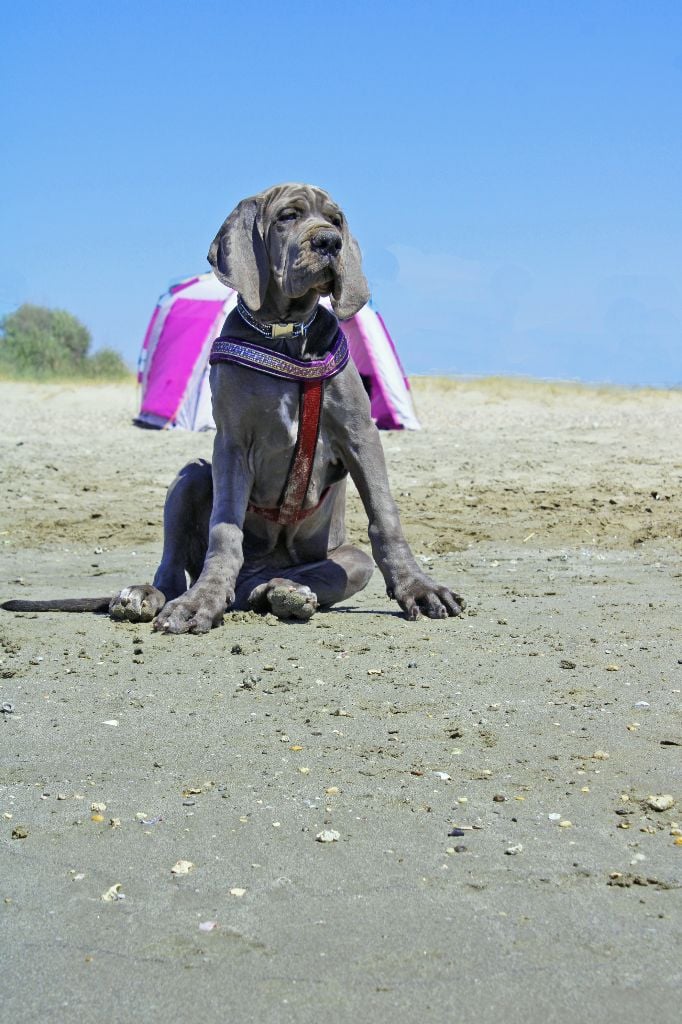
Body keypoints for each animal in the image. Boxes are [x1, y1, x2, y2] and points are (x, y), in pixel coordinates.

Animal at [2, 184, 465, 632]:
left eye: (335, 220)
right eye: (288, 216)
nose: (330, 242)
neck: (286, 335)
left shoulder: (359, 433)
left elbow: (385, 518)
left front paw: (419, 588)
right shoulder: (231, 443)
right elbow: (224, 530)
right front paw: (202, 601)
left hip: (348, 559)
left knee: (314, 575)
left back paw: (284, 592)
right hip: (190, 475)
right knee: (172, 570)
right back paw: (144, 596)